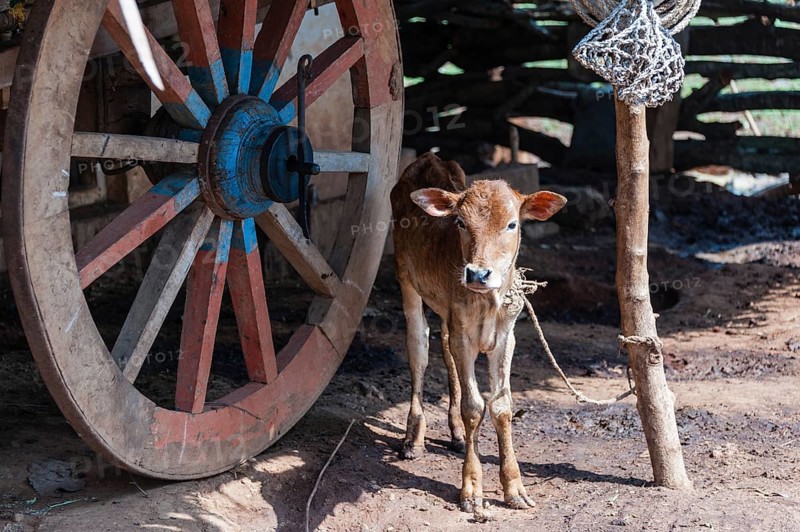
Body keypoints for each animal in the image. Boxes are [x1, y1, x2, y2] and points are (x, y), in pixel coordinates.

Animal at [390, 153, 567, 512]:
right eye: (460, 222)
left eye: (512, 224)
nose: (477, 274)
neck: (489, 302)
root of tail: (428, 157)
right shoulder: (464, 336)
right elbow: (473, 407)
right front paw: (471, 490)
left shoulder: (505, 338)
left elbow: (501, 406)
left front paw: (515, 488)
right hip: (406, 280)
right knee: (419, 350)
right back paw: (413, 438)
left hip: (447, 314)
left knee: (444, 349)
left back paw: (456, 435)